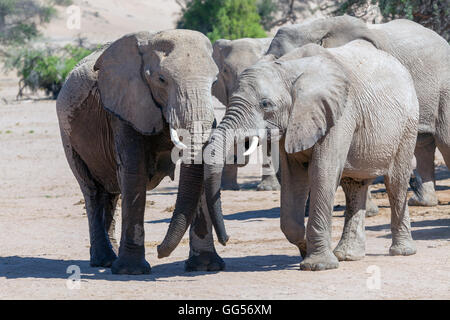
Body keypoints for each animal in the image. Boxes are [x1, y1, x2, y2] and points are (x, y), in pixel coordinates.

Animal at [56, 30, 230, 276]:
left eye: (214, 82)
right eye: (161, 80)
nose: (159, 251)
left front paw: (206, 267)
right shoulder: (124, 109)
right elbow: (134, 173)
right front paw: (131, 271)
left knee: (111, 192)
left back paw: (109, 259)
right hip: (67, 135)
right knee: (92, 190)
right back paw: (104, 260)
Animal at [266, 15, 450, 209]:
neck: (315, 26)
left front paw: (368, 211)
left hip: (443, 86)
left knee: (444, 140)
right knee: (423, 143)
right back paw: (423, 203)